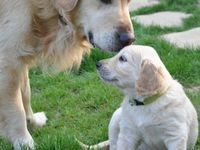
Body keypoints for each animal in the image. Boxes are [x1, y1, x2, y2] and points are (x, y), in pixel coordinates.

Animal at [0, 0, 134, 149]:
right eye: (105, 1)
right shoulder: (7, 60)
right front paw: (24, 142)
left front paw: (32, 122)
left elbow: (26, 94)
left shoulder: (19, 57)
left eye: (129, 2)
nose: (129, 39)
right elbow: (16, 111)